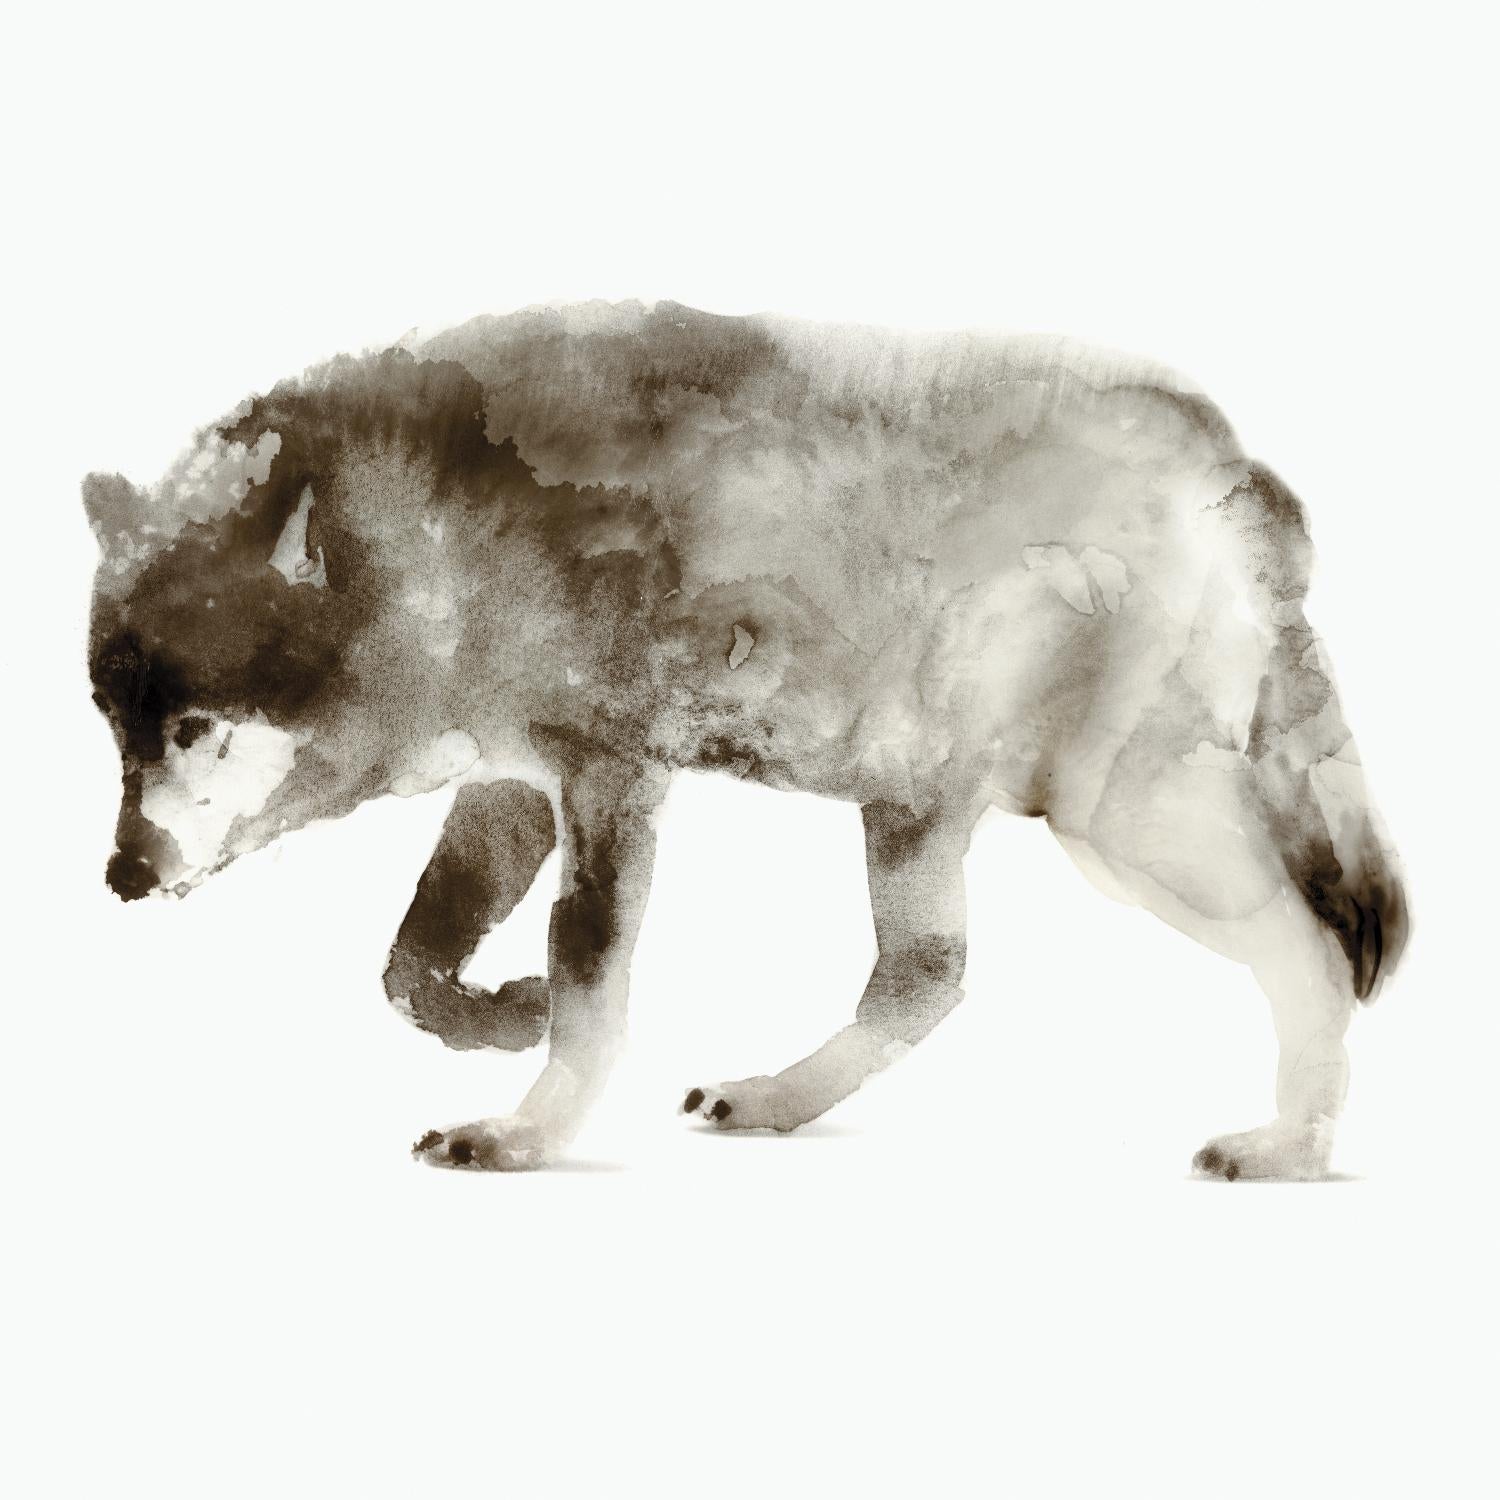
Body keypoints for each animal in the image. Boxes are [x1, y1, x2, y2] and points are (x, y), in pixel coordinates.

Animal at [85, 300, 1408, 1177]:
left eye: (193, 726)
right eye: (114, 729)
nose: (120, 876)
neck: (429, 536)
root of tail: (1230, 459)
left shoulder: (611, 777)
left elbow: (587, 976)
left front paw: (524, 1129)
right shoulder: (516, 783)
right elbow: (411, 965)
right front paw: (502, 1014)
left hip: (1116, 822)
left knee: (1315, 948)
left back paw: (1293, 1145)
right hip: (917, 804)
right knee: (930, 976)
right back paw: (775, 1101)